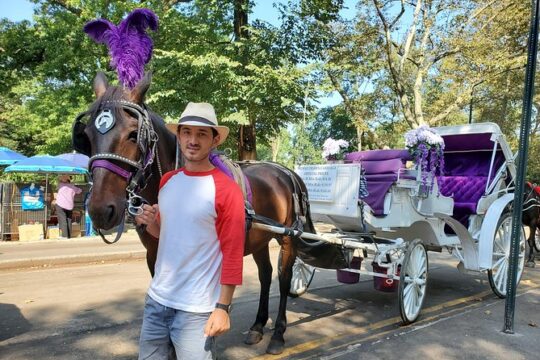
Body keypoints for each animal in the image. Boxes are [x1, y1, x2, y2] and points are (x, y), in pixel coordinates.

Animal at [73, 71, 346, 356]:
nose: (100, 209)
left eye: (133, 134)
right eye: (87, 136)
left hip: (286, 237)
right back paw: (258, 326)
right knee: (265, 275)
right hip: (260, 238)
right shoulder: (155, 255)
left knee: (283, 278)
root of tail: (287, 172)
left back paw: (278, 334)